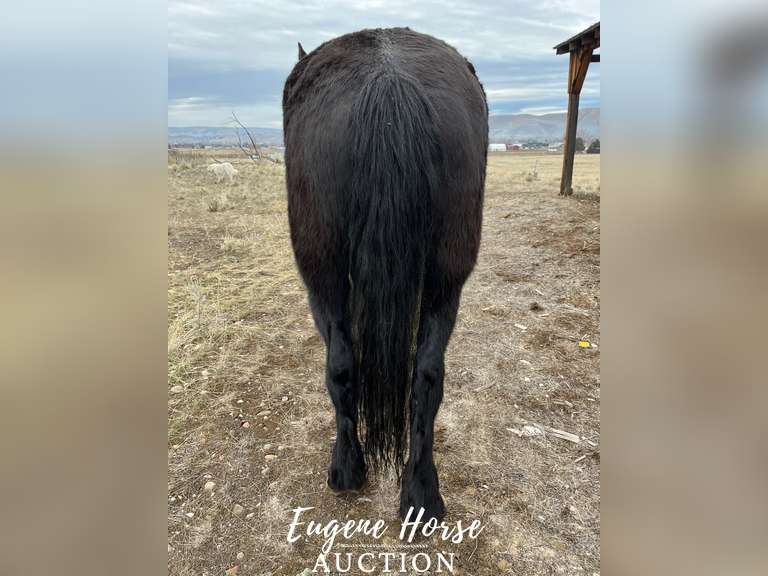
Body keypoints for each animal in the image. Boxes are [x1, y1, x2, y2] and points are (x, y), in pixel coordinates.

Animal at [283, 27, 488, 522]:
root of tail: (388, 82)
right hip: (446, 280)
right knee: (428, 375)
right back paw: (421, 493)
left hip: (323, 276)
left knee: (339, 364)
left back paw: (346, 468)